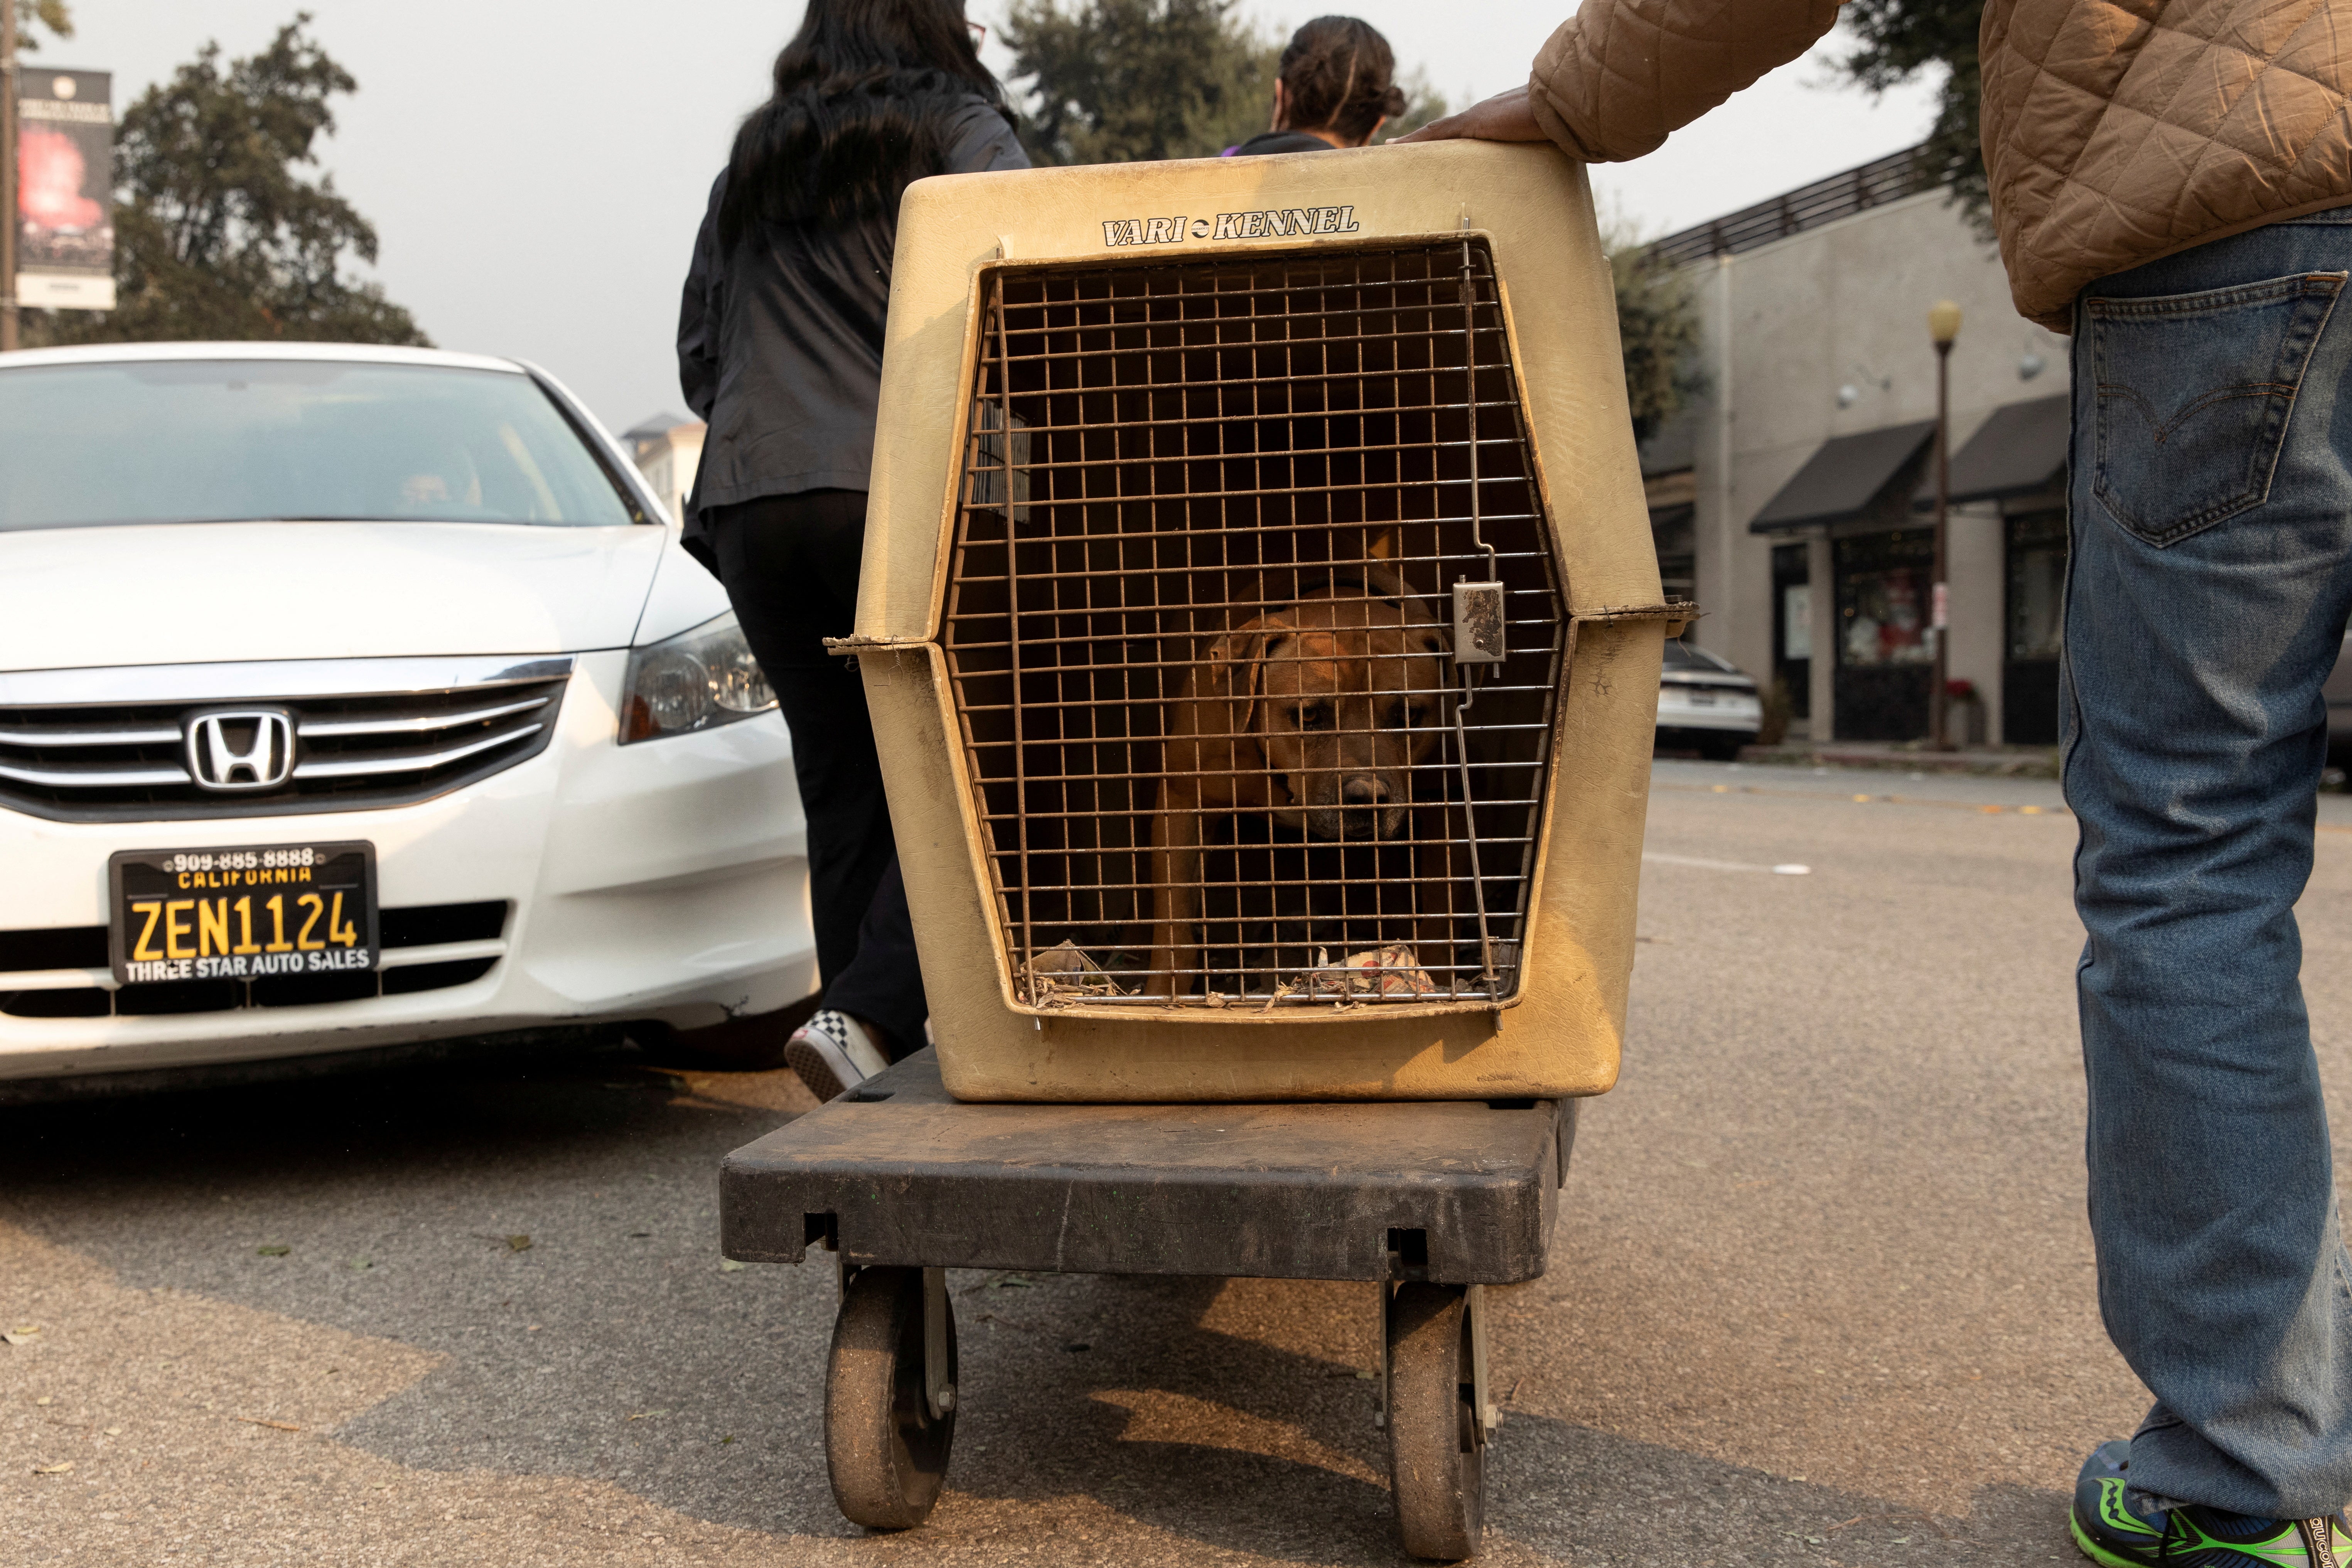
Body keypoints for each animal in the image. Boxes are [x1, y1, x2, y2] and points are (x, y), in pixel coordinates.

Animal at [1143, 533, 1467, 1001]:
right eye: (1310, 715)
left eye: (1407, 715)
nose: (1366, 796)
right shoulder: (1183, 803)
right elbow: (1176, 927)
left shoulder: (1449, 805)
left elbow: (1443, 911)